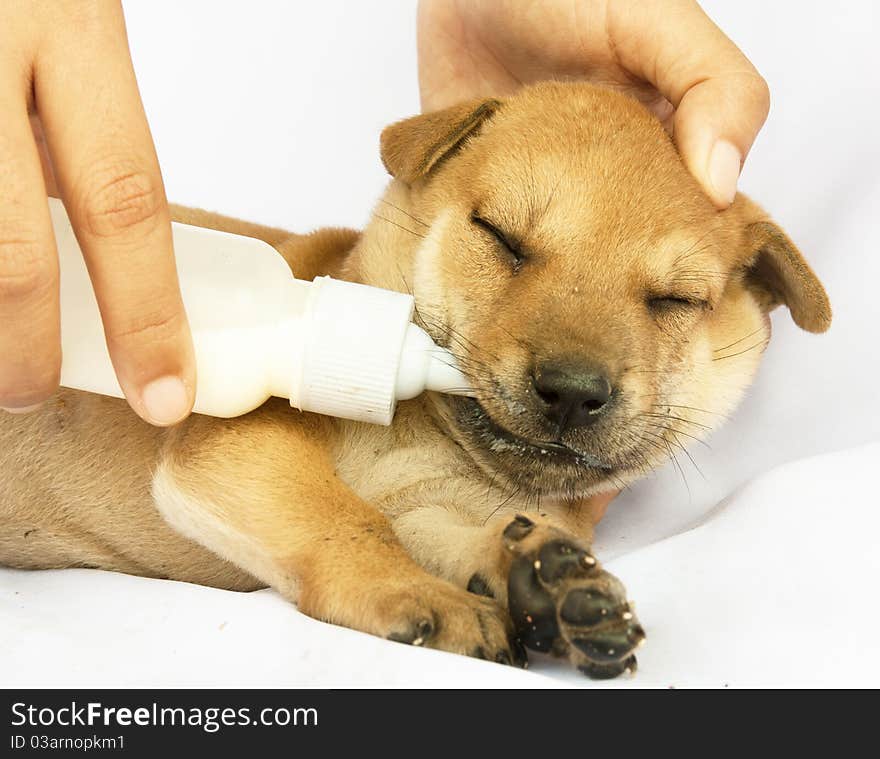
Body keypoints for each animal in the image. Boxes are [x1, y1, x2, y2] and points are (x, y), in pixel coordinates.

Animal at [0, 83, 832, 676]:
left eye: (674, 300)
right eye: (501, 237)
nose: (571, 388)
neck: (411, 435)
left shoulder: (425, 501)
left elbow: (440, 530)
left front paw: (537, 581)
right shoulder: (240, 451)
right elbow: (345, 522)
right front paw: (421, 596)